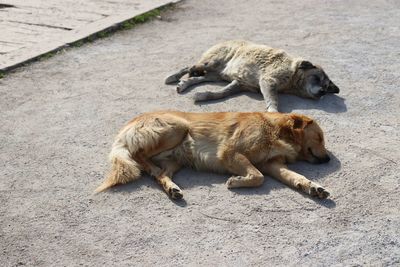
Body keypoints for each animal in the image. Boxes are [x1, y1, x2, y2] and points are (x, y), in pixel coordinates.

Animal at [96, 110, 332, 200]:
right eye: (320, 137)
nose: (329, 159)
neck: (275, 129)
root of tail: (128, 126)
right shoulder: (230, 152)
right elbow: (257, 176)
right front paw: (236, 181)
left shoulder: (273, 164)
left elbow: (296, 177)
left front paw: (313, 187)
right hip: (177, 128)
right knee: (138, 155)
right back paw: (150, 167)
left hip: (175, 161)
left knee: (161, 175)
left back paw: (172, 188)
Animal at [164, 40, 340, 112]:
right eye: (316, 78)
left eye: (326, 87)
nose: (322, 92)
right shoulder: (268, 81)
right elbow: (273, 99)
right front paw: (273, 111)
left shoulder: (239, 84)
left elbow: (221, 93)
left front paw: (203, 95)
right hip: (212, 62)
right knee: (190, 67)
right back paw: (174, 77)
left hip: (216, 76)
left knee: (197, 77)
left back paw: (184, 84)